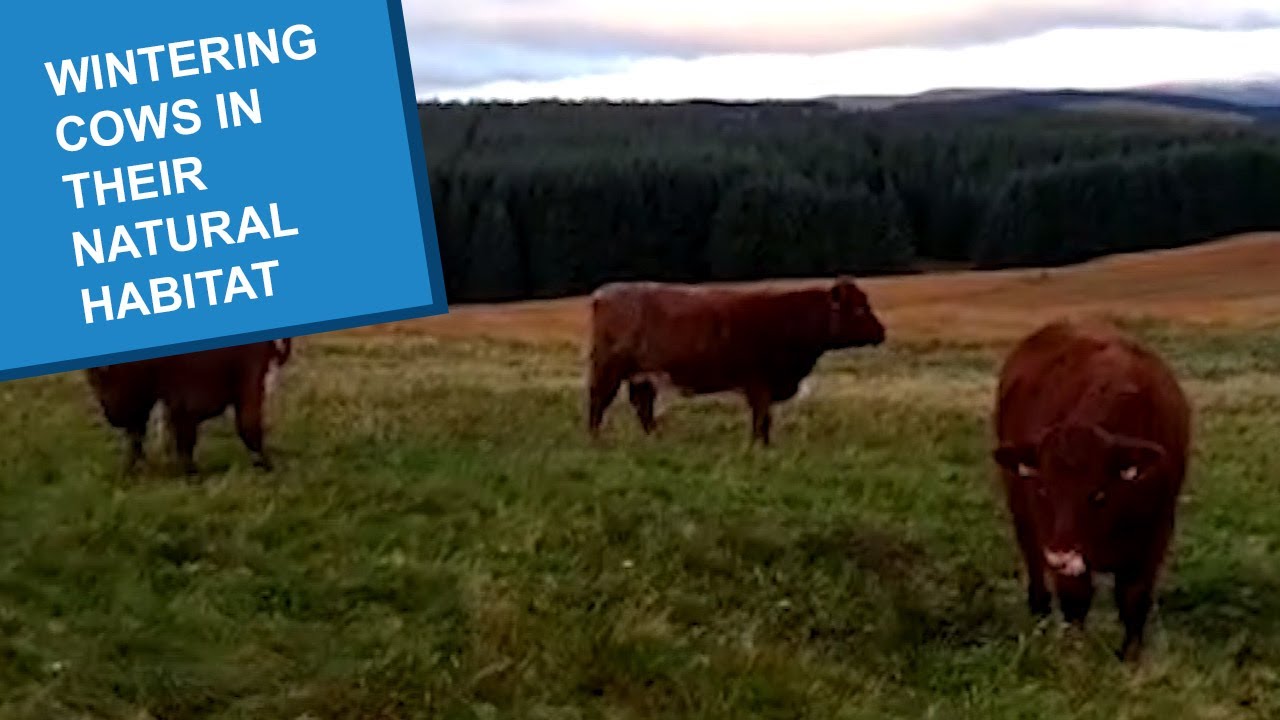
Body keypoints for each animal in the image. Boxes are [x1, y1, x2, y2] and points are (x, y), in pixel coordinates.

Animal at [586, 277, 886, 445]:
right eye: (859, 309)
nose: (881, 332)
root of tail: (605, 293)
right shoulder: (760, 383)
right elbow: (762, 418)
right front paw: (761, 445)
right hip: (609, 368)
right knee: (599, 400)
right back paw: (595, 438)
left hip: (643, 375)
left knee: (642, 406)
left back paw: (655, 438)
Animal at [991, 318, 1192, 662]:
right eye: (1043, 490)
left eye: (1098, 494)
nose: (1061, 554)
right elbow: (1075, 601)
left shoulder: (1155, 535)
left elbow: (1134, 598)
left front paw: (1130, 656)